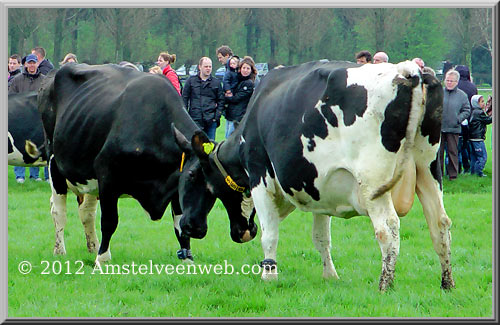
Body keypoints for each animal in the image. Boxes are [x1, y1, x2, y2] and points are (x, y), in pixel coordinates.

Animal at [25, 64, 256, 266]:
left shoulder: (174, 185)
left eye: (214, 185)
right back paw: (60, 250)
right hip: (55, 164)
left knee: (86, 212)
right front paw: (102, 260)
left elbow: (178, 224)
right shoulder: (107, 175)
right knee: (58, 210)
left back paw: (92, 247)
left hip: (87, 174)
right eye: (191, 175)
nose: (196, 228)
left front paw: (187, 260)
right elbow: (109, 220)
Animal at [175, 59, 454, 290]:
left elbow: (269, 233)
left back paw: (385, 285)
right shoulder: (321, 187)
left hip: (373, 182)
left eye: (192, 176)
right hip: (428, 169)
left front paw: (269, 275)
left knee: (388, 228)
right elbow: (321, 238)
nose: (188, 225)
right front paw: (330, 276)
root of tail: (408, 70)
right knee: (439, 223)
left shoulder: (259, 177)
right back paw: (446, 283)